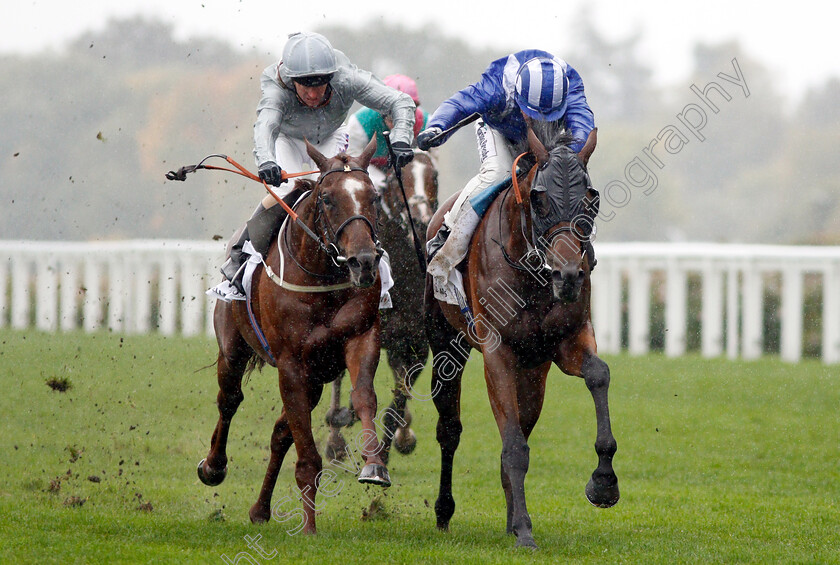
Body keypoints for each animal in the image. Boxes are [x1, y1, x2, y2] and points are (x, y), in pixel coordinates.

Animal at [199, 137, 392, 532]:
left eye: (373, 197)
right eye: (328, 199)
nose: (364, 261)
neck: (322, 277)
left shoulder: (360, 338)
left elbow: (364, 396)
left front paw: (374, 465)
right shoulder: (290, 362)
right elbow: (307, 457)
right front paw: (310, 528)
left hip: (316, 377)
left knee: (280, 433)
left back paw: (260, 509)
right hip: (233, 349)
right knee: (229, 400)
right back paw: (213, 466)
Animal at [324, 151, 440, 462]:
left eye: (434, 177)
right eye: (398, 178)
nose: (421, 220)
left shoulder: (416, 345)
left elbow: (396, 403)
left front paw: (389, 447)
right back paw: (336, 437)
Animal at [426, 126, 616, 548]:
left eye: (591, 199)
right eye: (539, 199)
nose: (568, 276)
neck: (532, 273)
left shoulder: (565, 341)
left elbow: (599, 374)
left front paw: (603, 483)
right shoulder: (497, 351)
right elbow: (513, 445)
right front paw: (526, 531)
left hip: (534, 371)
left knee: (523, 421)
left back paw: (512, 517)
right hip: (446, 343)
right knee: (449, 429)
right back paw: (445, 512)